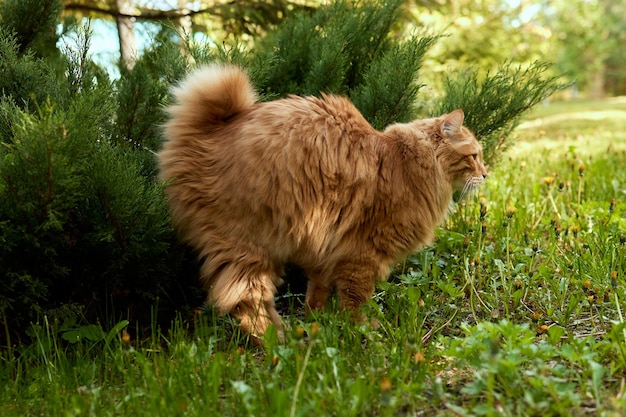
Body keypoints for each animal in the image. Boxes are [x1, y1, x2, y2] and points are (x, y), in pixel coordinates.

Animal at [157, 64, 488, 338]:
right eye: (474, 156)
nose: (486, 174)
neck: (408, 161)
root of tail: (209, 131)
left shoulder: (326, 251)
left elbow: (316, 293)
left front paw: (316, 321)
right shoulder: (362, 252)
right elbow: (356, 300)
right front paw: (363, 331)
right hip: (248, 248)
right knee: (246, 303)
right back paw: (278, 341)